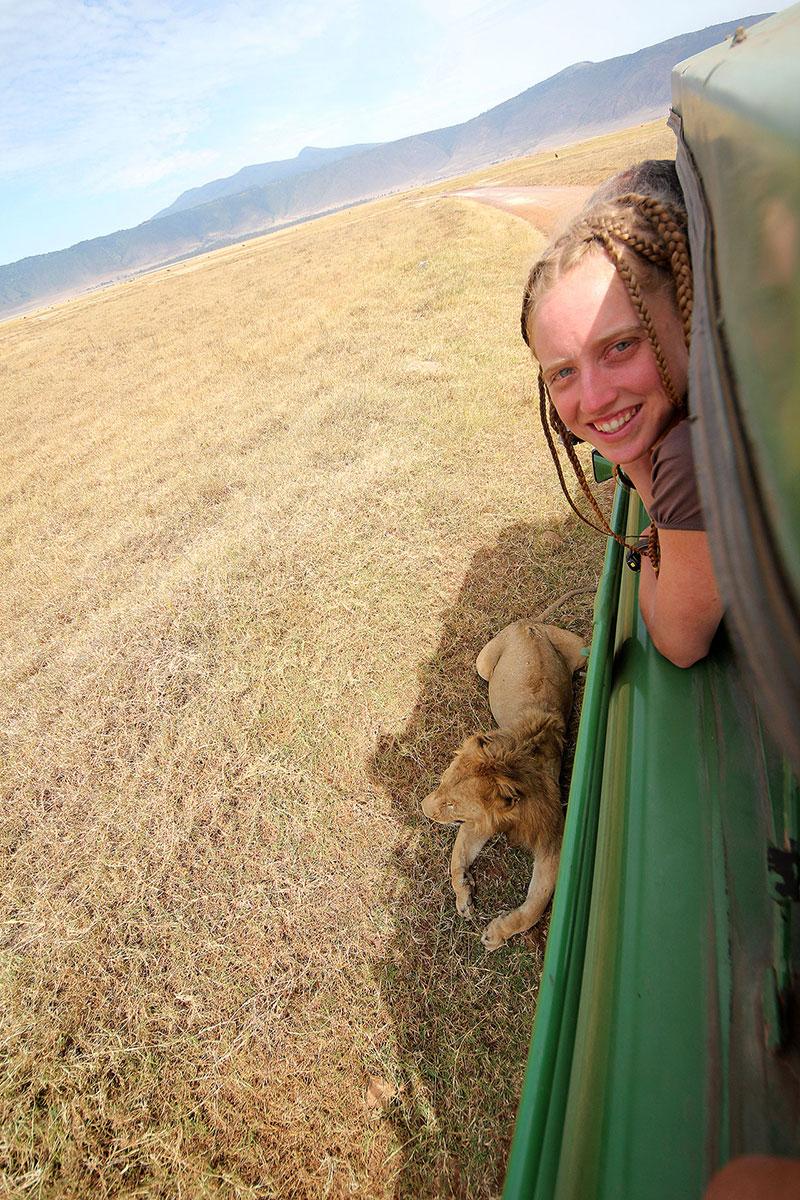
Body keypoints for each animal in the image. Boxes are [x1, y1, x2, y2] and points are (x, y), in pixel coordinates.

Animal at [422, 624, 585, 950]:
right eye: (442, 783)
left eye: (451, 805)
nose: (421, 808)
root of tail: (529, 622)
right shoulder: (480, 822)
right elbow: (456, 858)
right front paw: (463, 893)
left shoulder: (553, 842)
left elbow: (535, 906)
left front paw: (497, 933)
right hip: (483, 666)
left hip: (584, 648)